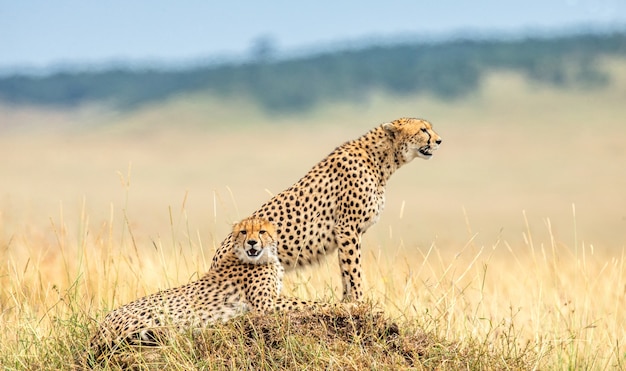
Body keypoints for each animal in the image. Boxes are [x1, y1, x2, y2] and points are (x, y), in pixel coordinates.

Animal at [87, 217, 324, 364]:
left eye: (262, 231)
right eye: (244, 232)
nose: (252, 242)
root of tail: (102, 324)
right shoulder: (266, 305)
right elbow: (307, 302)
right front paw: (333, 304)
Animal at [212, 117, 442, 300]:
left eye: (429, 128)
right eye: (423, 130)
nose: (439, 140)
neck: (381, 160)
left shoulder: (347, 232)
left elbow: (346, 269)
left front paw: (347, 301)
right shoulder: (347, 227)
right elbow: (354, 269)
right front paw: (360, 301)